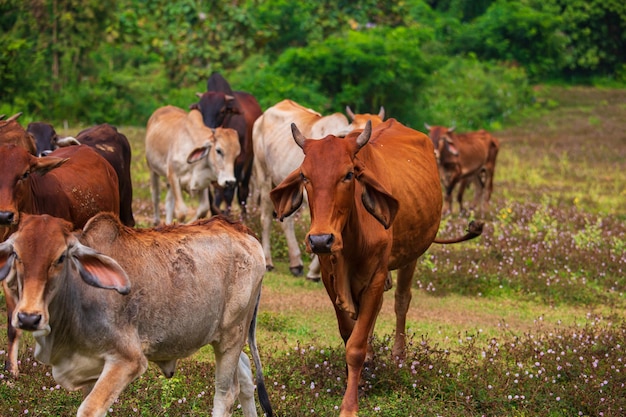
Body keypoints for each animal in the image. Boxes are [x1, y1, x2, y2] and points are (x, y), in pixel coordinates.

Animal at [0, 213, 272, 416]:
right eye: (16, 255)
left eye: (60, 258)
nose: (28, 318)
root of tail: (241, 228)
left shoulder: (127, 360)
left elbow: (89, 409)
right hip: (227, 339)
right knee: (246, 375)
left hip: (231, 337)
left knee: (226, 394)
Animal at [188, 71, 260, 216]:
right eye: (200, 110)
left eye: (222, 111)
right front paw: (215, 212)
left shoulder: (240, 160)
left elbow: (230, 190)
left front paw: (228, 215)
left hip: (250, 160)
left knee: (243, 190)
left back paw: (244, 215)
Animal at [268, 118, 478, 414]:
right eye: (305, 176)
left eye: (348, 175)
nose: (320, 239)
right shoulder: (329, 278)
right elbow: (349, 334)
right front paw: (360, 376)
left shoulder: (376, 277)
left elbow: (355, 347)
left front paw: (350, 405)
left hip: (411, 255)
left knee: (401, 301)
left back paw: (399, 356)